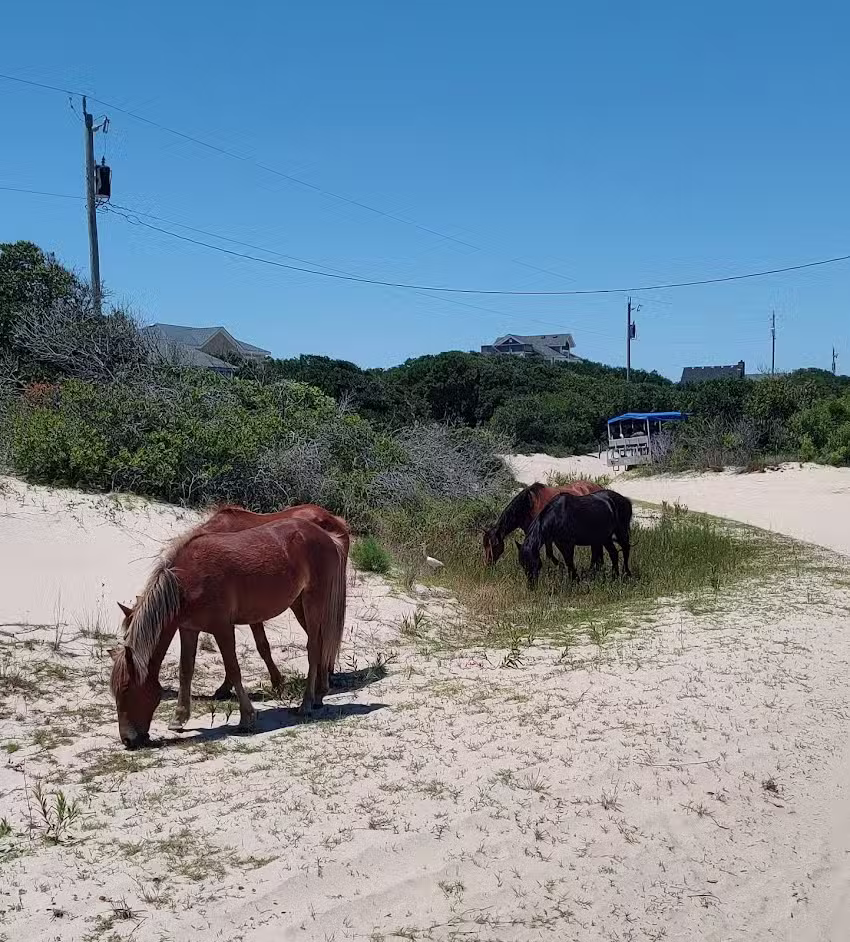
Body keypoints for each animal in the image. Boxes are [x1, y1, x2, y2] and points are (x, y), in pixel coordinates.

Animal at [110, 517, 346, 749]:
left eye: (127, 690)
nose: (127, 740)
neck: (185, 582)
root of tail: (327, 536)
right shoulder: (188, 629)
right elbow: (185, 671)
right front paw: (179, 718)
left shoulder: (222, 628)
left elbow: (233, 669)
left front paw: (247, 718)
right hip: (299, 603)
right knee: (322, 644)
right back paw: (319, 694)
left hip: (313, 601)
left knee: (314, 648)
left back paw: (306, 704)